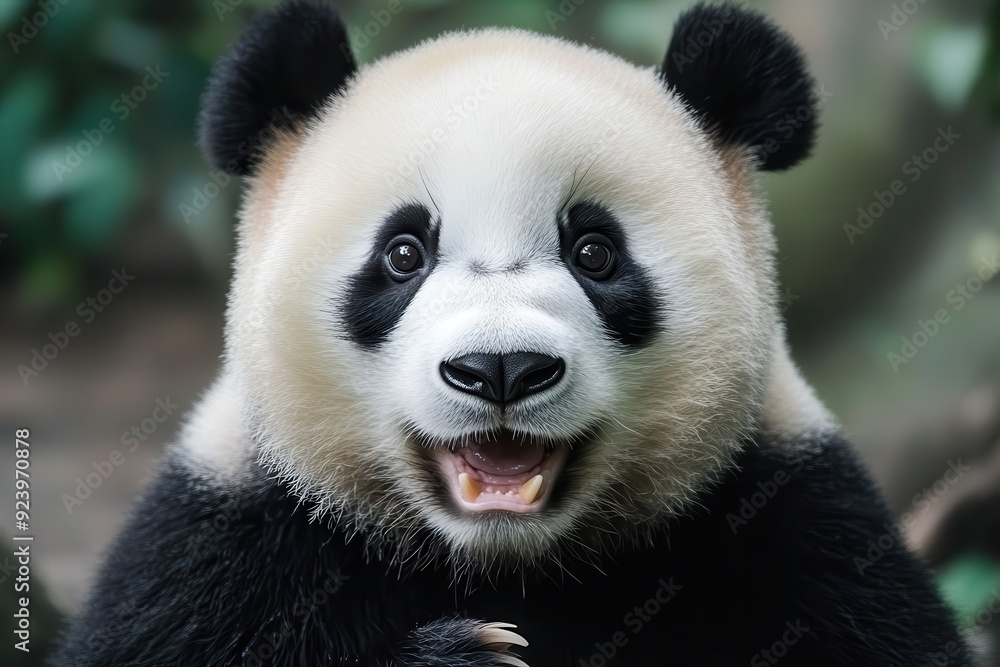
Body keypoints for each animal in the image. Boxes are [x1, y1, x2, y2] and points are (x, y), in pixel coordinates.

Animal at [52, 2, 972, 665]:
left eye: (595, 251)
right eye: (404, 253)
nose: (501, 368)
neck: (505, 563)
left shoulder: (796, 522)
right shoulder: (220, 545)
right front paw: (466, 658)